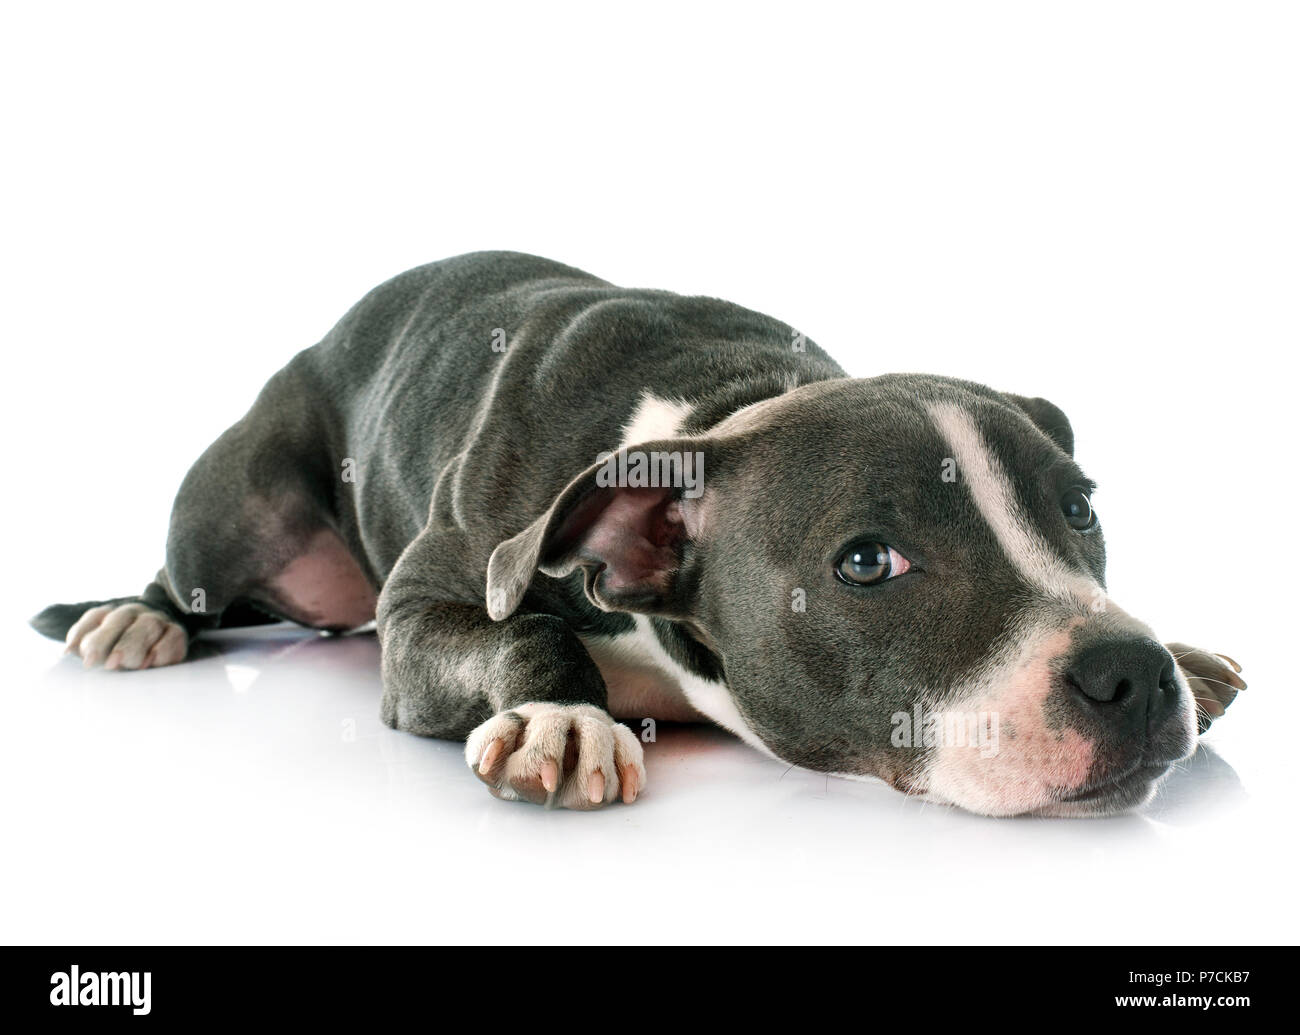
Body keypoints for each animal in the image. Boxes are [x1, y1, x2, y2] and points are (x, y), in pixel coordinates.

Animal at [30, 252, 1242, 816]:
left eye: (1080, 508)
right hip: (232, 506)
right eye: (866, 561)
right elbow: (520, 628)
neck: (718, 411)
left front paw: (1187, 653)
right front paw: (561, 718)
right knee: (192, 576)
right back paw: (131, 620)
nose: (1130, 672)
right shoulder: (419, 614)